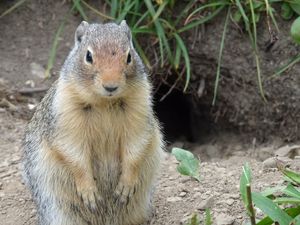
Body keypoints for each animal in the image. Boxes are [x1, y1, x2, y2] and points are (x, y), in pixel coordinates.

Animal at [22, 21, 164, 225]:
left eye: (129, 56)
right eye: (88, 56)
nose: (111, 86)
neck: (104, 102)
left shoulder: (139, 112)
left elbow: (135, 148)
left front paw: (125, 187)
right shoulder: (65, 117)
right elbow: (74, 154)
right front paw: (89, 192)